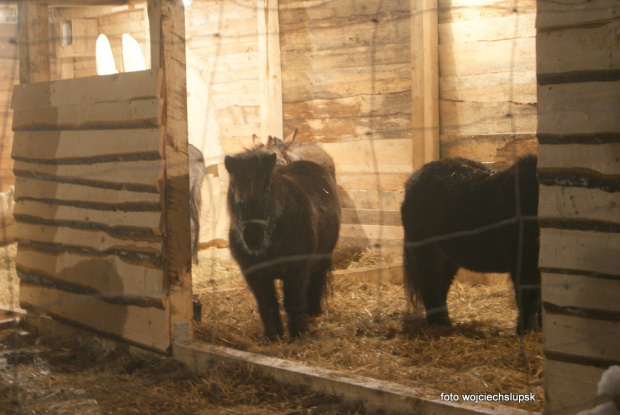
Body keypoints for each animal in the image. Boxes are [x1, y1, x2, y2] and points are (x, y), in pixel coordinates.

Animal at [224, 148, 342, 340]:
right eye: (234, 190)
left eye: (267, 189)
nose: (252, 237)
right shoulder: (255, 274)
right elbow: (267, 304)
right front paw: (272, 336)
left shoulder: (296, 271)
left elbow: (293, 302)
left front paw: (298, 334)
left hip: (322, 259)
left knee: (316, 282)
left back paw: (313, 312)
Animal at [402, 155, 536, 334]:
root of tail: (413, 180)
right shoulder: (523, 264)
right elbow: (528, 297)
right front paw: (525, 331)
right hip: (426, 251)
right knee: (429, 283)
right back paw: (437, 322)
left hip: (447, 257)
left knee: (440, 284)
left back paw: (444, 321)